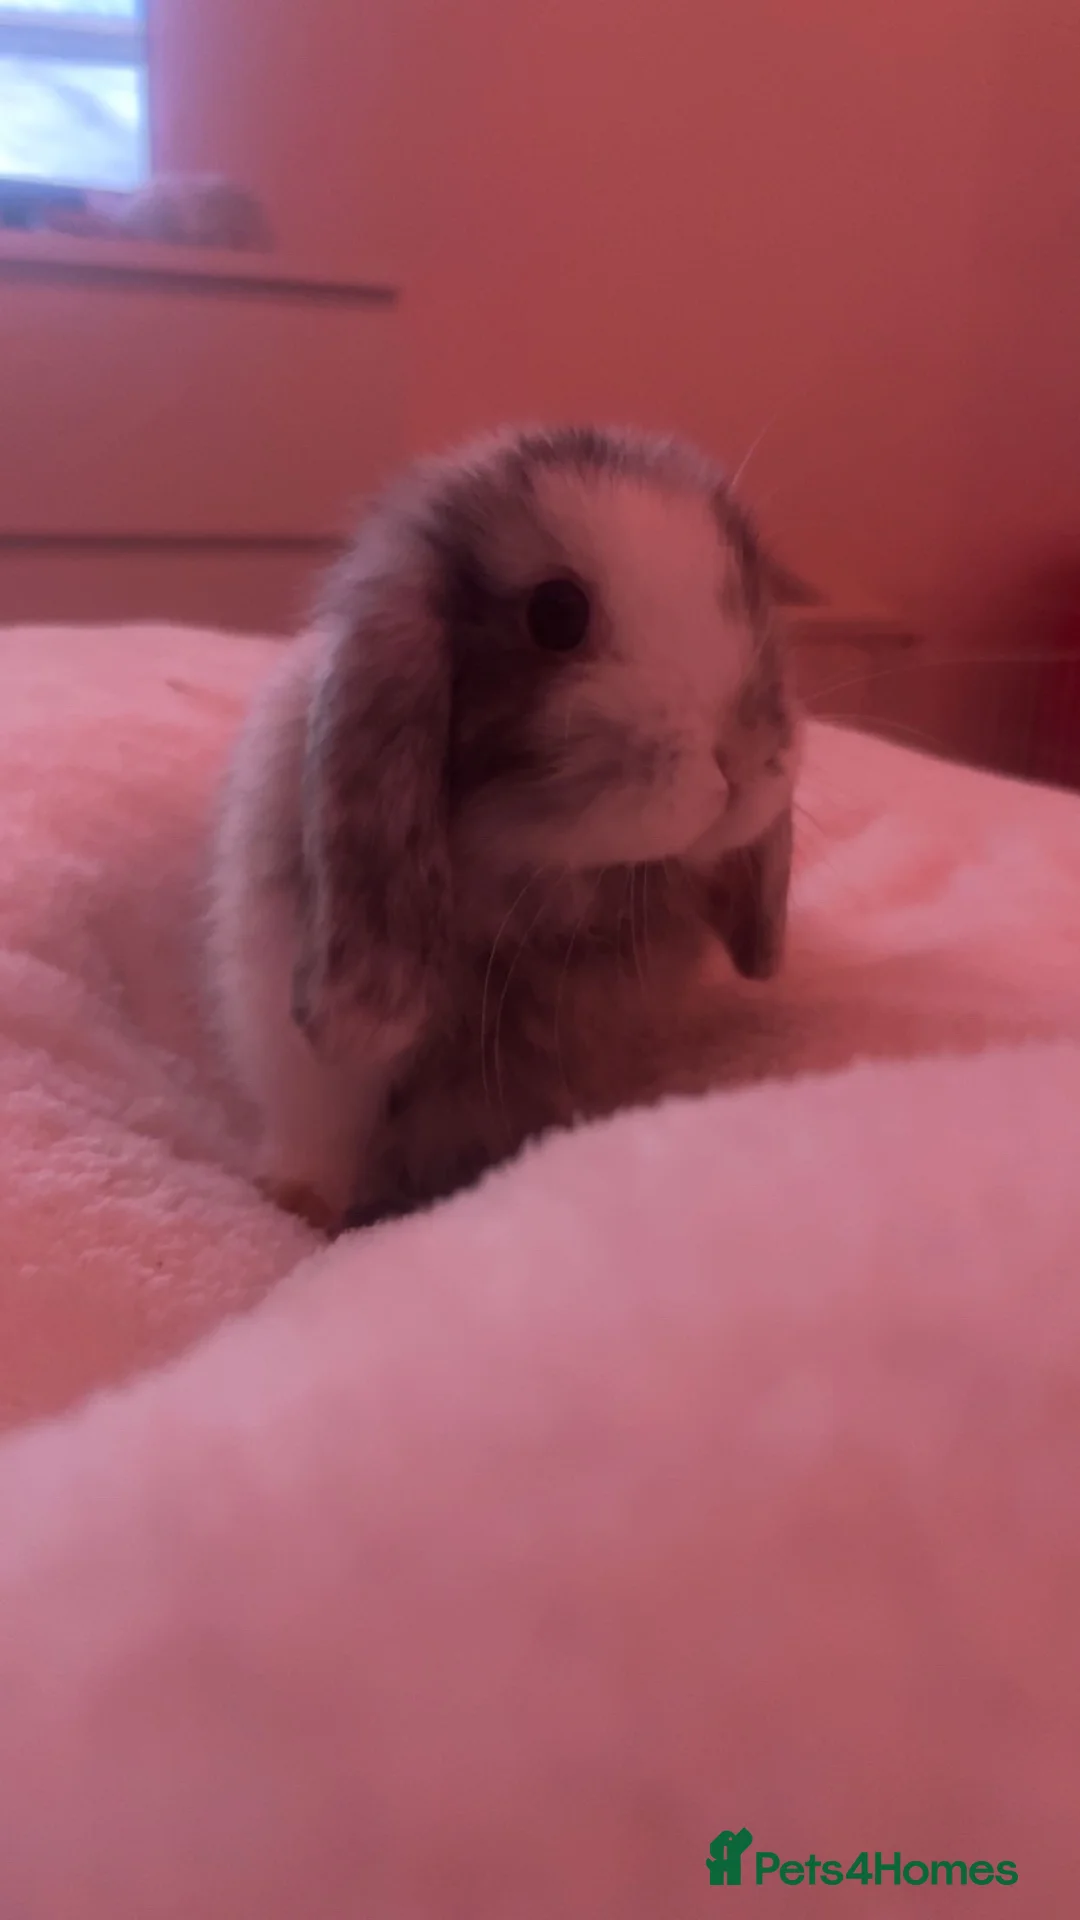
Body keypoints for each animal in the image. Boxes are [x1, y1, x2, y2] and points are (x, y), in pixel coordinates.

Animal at [207, 424, 803, 1233]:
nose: (737, 760)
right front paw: (303, 1209)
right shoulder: (301, 1057)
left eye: (749, 590)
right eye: (556, 614)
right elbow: (320, 1135)